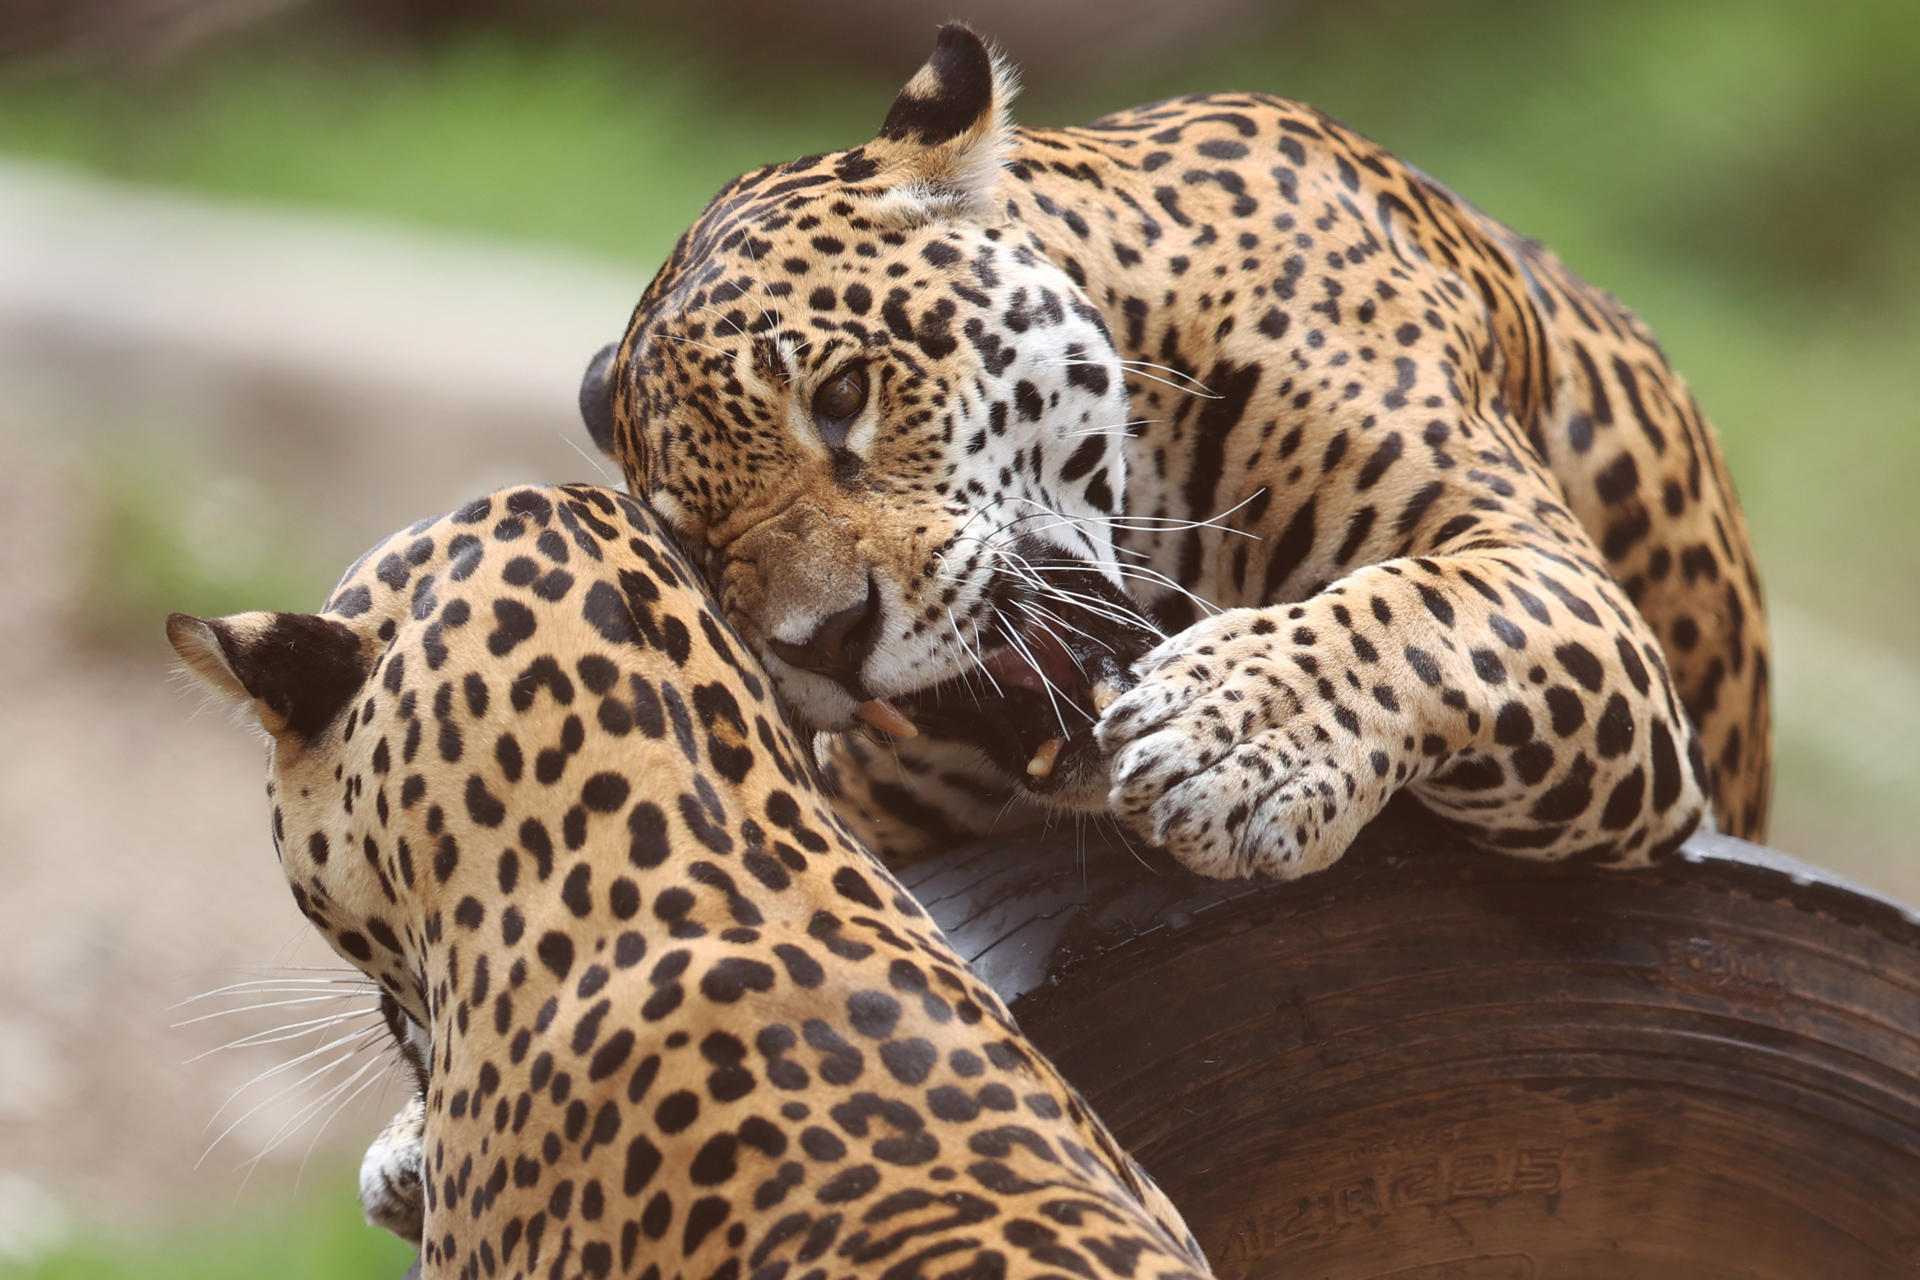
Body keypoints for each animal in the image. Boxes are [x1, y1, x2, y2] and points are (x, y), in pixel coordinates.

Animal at [578, 23, 1771, 882]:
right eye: (698, 549)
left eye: (840, 396)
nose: (826, 640)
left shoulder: (1566, 590)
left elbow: (1424, 606)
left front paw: (1239, 735)